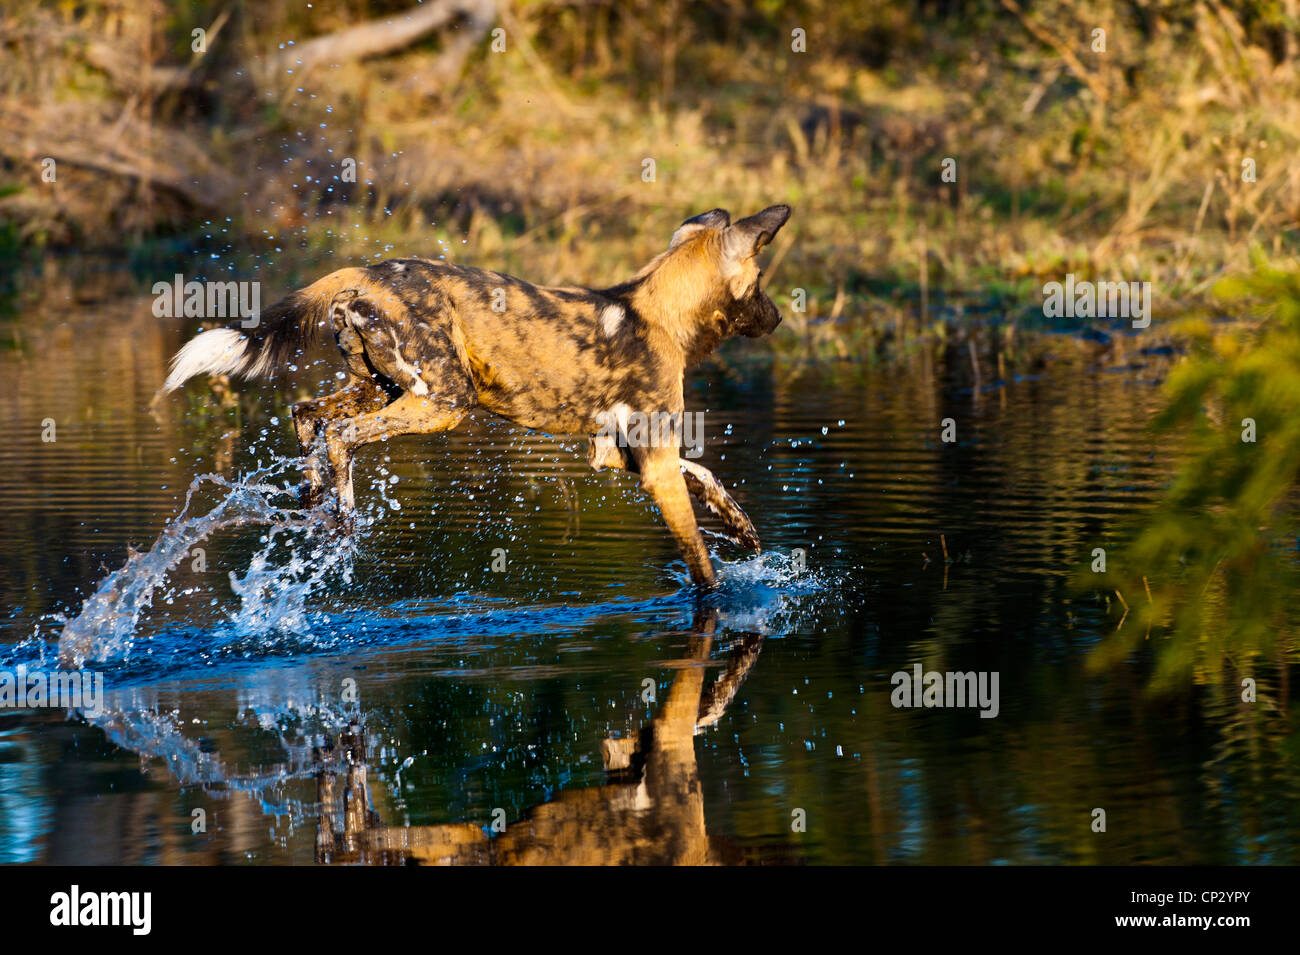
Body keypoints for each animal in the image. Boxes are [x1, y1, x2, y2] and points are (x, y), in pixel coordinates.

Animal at [162, 205, 790, 587]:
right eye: (761, 282)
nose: (780, 317)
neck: (657, 313)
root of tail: (364, 271)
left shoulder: (621, 454)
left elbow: (705, 475)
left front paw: (740, 527)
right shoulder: (653, 466)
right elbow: (701, 564)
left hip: (379, 388)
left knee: (308, 414)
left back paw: (314, 499)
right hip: (443, 403)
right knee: (340, 436)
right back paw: (342, 517)